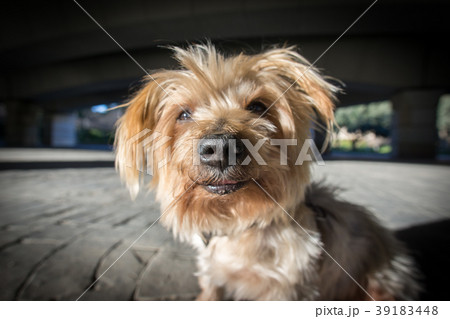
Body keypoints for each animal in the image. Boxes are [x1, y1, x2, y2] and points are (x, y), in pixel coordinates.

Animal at [114, 43, 420, 302]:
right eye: (184, 114)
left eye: (258, 107)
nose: (220, 148)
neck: (239, 223)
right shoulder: (213, 277)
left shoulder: (287, 288)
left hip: (384, 279)